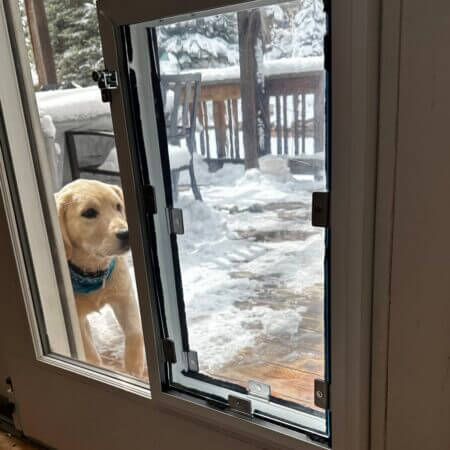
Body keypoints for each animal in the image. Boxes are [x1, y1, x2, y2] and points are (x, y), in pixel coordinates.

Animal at [55, 178, 145, 376]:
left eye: (118, 206)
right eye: (89, 213)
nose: (126, 234)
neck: (91, 272)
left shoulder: (125, 297)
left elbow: (135, 333)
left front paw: (133, 369)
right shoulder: (76, 318)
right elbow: (90, 355)